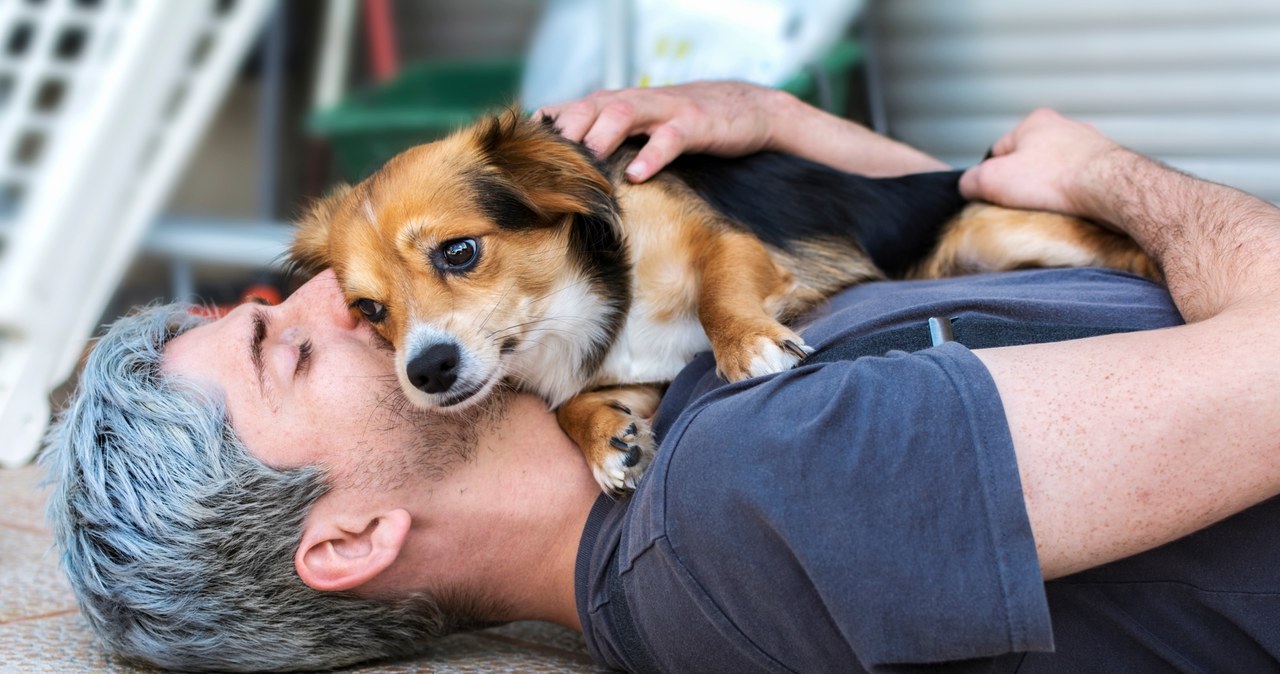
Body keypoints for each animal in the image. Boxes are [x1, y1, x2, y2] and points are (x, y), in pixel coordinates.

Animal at [293, 109, 1162, 491]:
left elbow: (719, 293)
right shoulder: (636, 370)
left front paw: (749, 343)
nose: (428, 371)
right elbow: (576, 406)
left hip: (994, 224)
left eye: (460, 252)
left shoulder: (731, 248)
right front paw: (608, 440)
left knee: (1114, 241)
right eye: (369, 311)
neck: (571, 306)